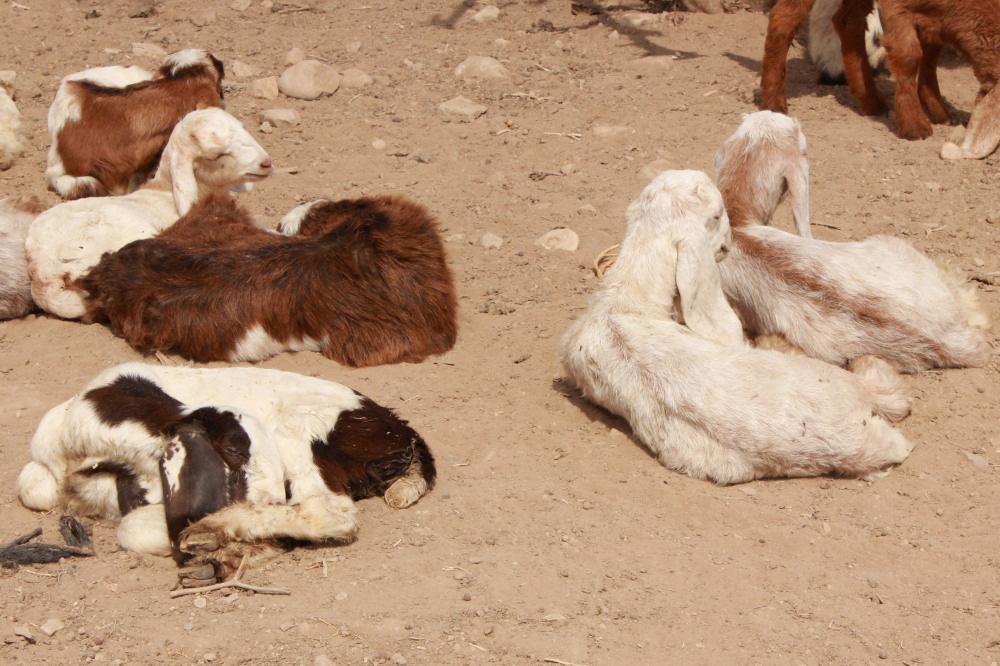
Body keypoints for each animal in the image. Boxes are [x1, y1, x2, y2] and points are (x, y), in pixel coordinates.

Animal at [15, 360, 436, 584]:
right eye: (234, 450)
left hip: (299, 428)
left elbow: (135, 527)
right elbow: (33, 487)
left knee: (331, 511)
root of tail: (402, 432)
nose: (273, 497)